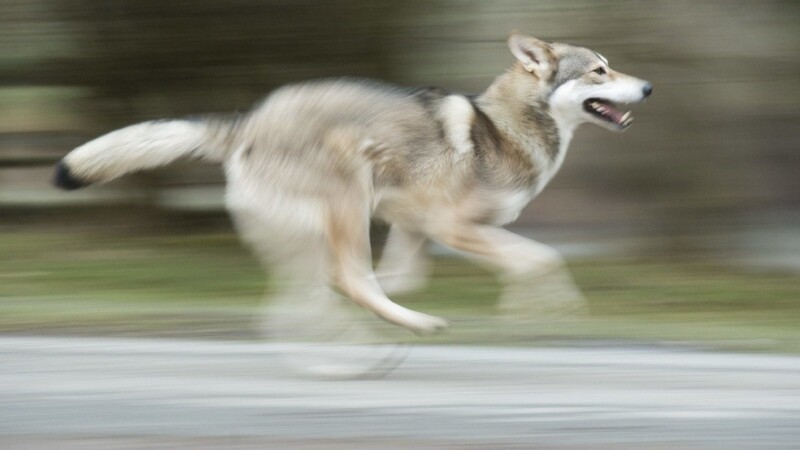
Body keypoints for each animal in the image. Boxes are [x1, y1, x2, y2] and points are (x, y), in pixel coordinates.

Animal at [54, 32, 648, 334]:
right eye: (599, 71)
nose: (647, 87)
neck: (507, 128)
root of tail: (248, 122)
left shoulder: (418, 232)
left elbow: (406, 275)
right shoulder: (451, 228)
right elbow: (543, 258)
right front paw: (541, 311)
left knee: (342, 278)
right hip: (350, 199)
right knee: (351, 277)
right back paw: (412, 327)